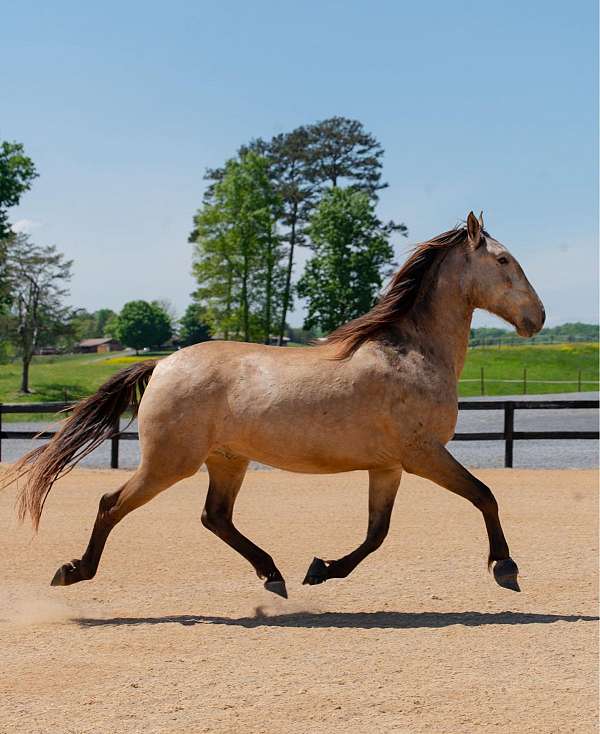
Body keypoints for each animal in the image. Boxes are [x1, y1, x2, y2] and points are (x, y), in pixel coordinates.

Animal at [3, 211, 544, 600]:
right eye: (503, 261)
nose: (537, 317)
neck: (412, 351)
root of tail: (162, 364)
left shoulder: (389, 465)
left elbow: (377, 533)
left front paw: (321, 569)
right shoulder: (423, 454)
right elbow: (484, 495)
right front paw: (505, 566)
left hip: (226, 461)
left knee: (215, 517)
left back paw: (273, 573)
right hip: (169, 463)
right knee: (112, 504)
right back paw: (73, 570)